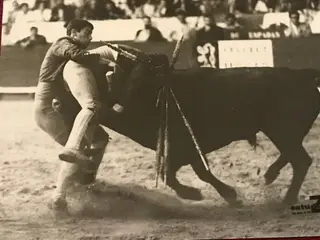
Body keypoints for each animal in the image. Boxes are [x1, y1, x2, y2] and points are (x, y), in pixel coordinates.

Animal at [61, 44, 320, 206]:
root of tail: (303, 75)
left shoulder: (181, 147)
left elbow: (183, 174)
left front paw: (201, 194)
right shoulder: (181, 150)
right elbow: (187, 173)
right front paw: (226, 195)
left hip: (282, 131)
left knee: (300, 160)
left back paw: (285, 197)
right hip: (284, 132)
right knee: (296, 157)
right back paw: (271, 176)